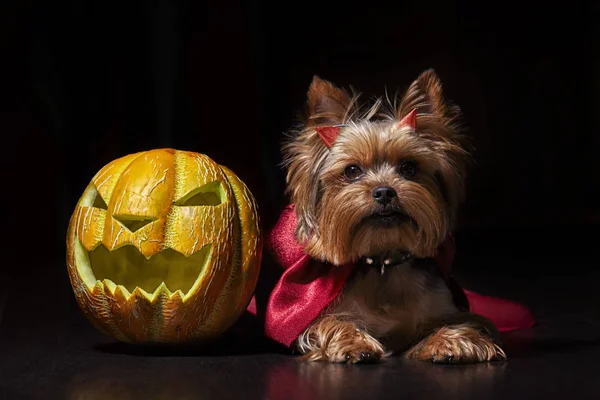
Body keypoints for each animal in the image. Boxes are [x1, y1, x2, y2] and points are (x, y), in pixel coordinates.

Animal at [282, 70, 506, 364]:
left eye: (409, 167)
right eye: (352, 170)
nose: (384, 192)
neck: (384, 262)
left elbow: (461, 323)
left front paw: (453, 342)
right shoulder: (320, 317)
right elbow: (330, 323)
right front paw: (354, 343)